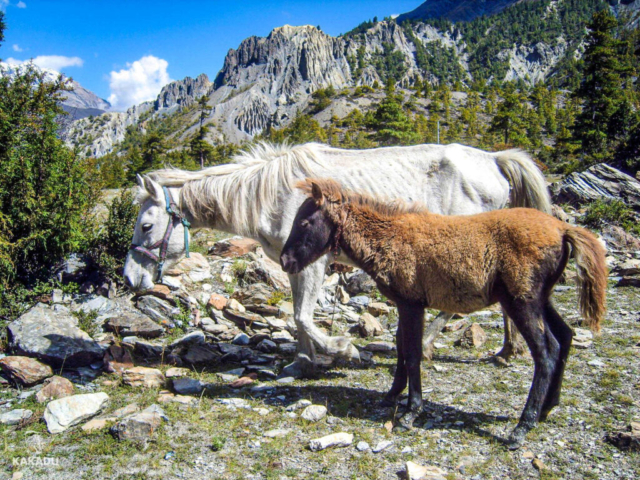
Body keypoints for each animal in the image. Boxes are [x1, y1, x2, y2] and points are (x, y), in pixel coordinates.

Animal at [124, 141, 552, 376]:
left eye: (146, 225)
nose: (129, 279)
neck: (273, 193)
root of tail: (494, 159)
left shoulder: (314, 263)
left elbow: (302, 316)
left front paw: (341, 349)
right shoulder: (294, 264)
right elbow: (297, 316)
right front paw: (302, 362)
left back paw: (431, 345)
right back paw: (507, 350)